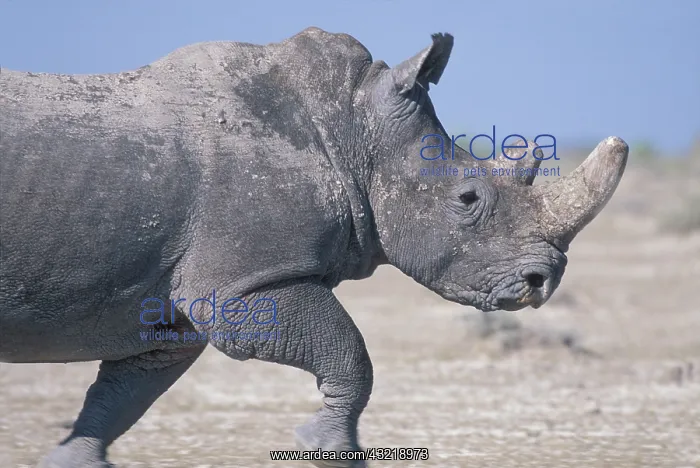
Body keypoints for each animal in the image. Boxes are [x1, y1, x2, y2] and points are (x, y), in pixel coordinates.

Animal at [0, 27, 627, 467]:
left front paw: (70, 460)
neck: (353, 128)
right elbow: (350, 351)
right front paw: (328, 449)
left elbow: (118, 397)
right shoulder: (244, 283)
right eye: (467, 198)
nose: (542, 281)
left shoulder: (164, 312)